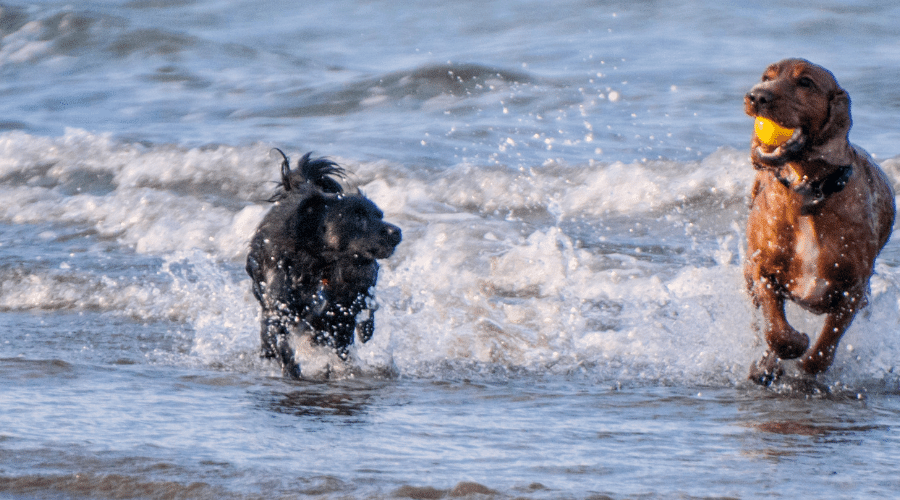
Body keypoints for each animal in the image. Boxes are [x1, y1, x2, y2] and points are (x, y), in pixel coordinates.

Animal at [246, 150, 400, 376]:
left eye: (380, 215)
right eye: (358, 217)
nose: (397, 232)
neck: (323, 266)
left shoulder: (341, 315)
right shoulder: (279, 309)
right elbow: (281, 344)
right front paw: (291, 370)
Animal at [744, 57, 892, 382]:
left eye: (805, 82)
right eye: (766, 77)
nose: (756, 96)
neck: (807, 191)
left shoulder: (852, 289)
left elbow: (824, 349)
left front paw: (806, 365)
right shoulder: (763, 270)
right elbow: (776, 331)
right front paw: (789, 347)